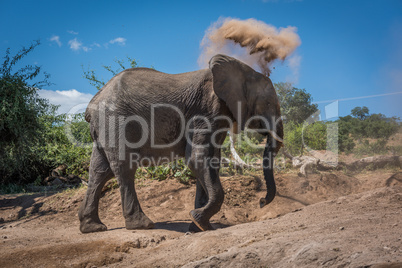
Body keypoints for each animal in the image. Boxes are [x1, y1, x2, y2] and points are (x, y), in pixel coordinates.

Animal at [78, 54, 282, 232]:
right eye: (269, 104)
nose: (261, 202)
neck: (244, 71)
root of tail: (92, 104)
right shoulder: (206, 110)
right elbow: (197, 159)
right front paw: (198, 219)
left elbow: (211, 161)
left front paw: (199, 227)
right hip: (114, 121)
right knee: (124, 167)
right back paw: (142, 224)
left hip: (103, 127)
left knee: (99, 171)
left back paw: (92, 227)